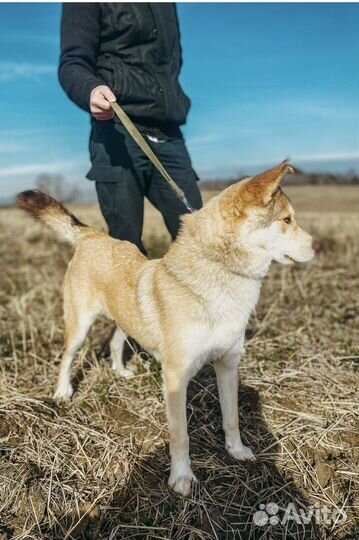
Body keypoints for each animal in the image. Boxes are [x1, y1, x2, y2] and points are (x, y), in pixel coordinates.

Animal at [17, 161, 316, 498]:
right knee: (68, 357)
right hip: (79, 323)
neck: (219, 273)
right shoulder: (175, 377)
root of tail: (94, 237)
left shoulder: (228, 364)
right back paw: (63, 392)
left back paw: (120, 371)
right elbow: (180, 435)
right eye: (287, 219)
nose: (316, 246)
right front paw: (182, 478)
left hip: (126, 316)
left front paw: (237, 451)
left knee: (116, 339)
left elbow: (232, 417)